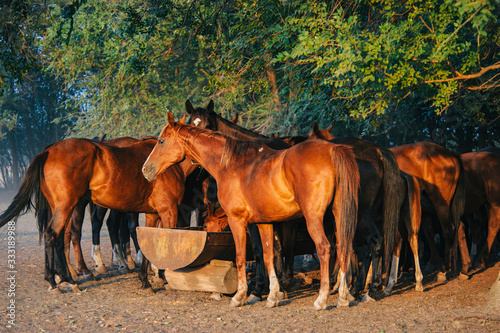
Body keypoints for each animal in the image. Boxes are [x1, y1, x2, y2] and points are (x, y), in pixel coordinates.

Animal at [0, 134, 197, 290]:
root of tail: (49, 151)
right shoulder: (168, 210)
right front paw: (161, 277)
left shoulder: (153, 213)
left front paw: (147, 279)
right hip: (66, 207)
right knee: (53, 236)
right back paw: (60, 280)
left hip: (63, 208)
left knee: (61, 239)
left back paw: (67, 278)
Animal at [142, 113, 360, 308]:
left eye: (161, 141)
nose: (146, 169)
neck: (231, 164)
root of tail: (332, 150)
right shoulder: (264, 222)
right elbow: (268, 255)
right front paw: (272, 296)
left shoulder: (237, 220)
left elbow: (241, 257)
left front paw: (240, 296)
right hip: (338, 216)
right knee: (344, 246)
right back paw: (343, 296)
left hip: (314, 218)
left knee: (324, 248)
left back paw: (322, 299)